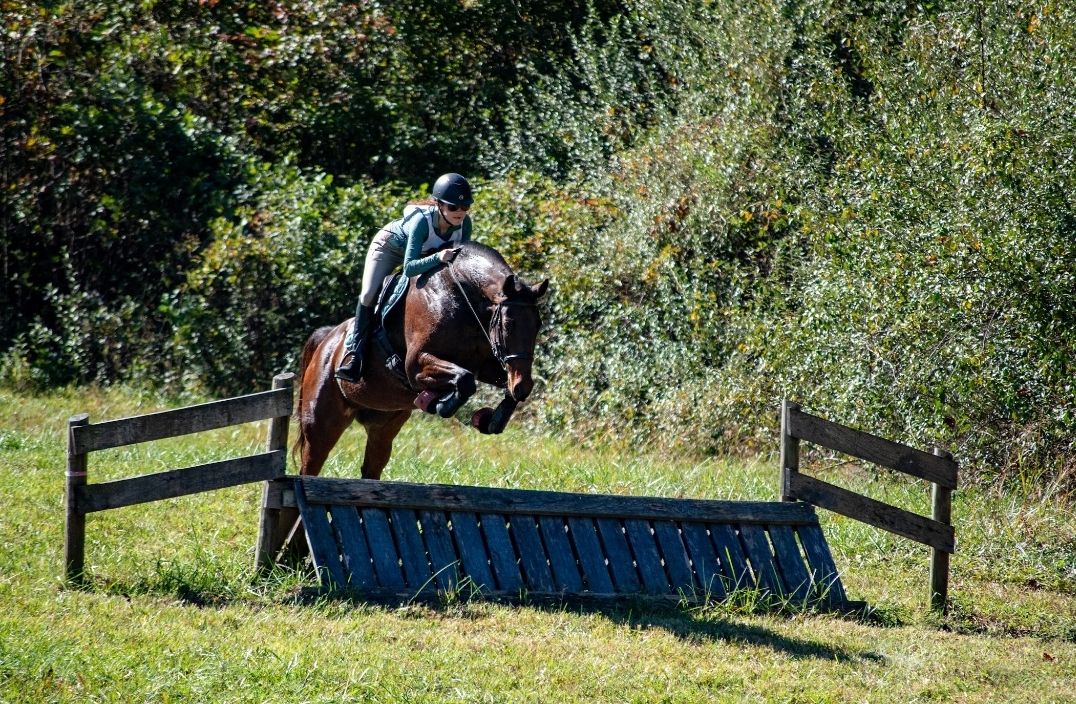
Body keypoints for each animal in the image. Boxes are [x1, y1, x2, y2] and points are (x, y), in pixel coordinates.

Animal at [292, 243, 546, 480]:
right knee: (310, 466)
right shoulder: (415, 366)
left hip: (383, 426)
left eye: (538, 324)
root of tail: (326, 339)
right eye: (508, 324)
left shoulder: (485, 366)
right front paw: (439, 404)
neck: (462, 299)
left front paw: (491, 420)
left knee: (371, 467)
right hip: (322, 424)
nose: (523, 386)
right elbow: (464, 380)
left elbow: (495, 385)